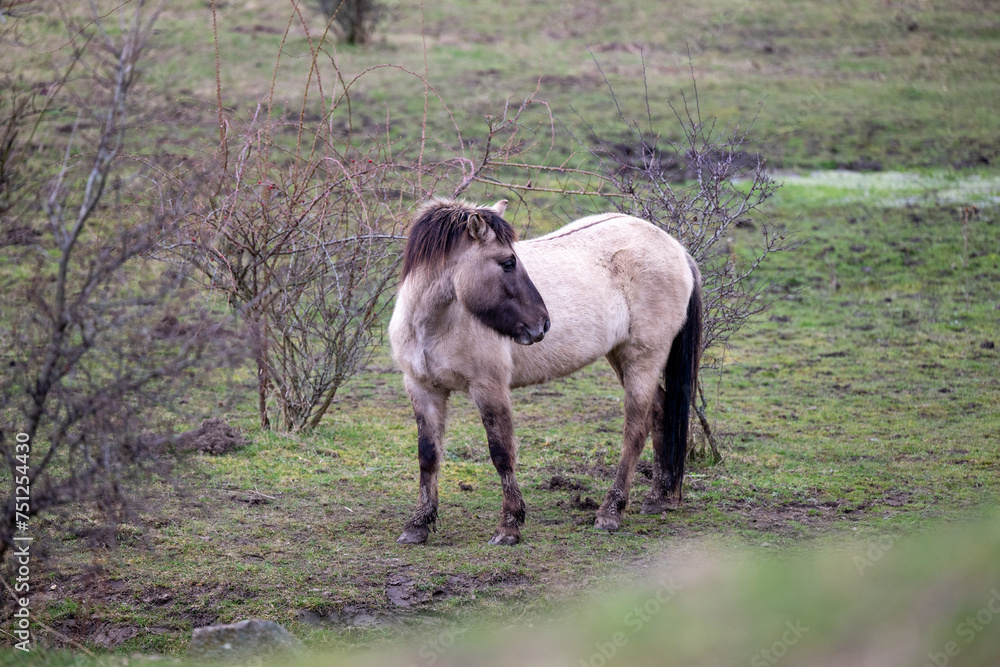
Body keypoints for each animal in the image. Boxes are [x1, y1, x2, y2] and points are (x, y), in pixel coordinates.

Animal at [388, 198, 701, 545]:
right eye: (508, 262)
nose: (543, 323)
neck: (434, 324)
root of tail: (676, 249)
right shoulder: (422, 389)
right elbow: (428, 455)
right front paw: (418, 524)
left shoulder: (490, 388)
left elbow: (501, 453)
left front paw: (509, 526)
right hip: (621, 357)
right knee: (659, 411)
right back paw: (658, 497)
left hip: (643, 359)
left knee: (635, 429)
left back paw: (611, 511)